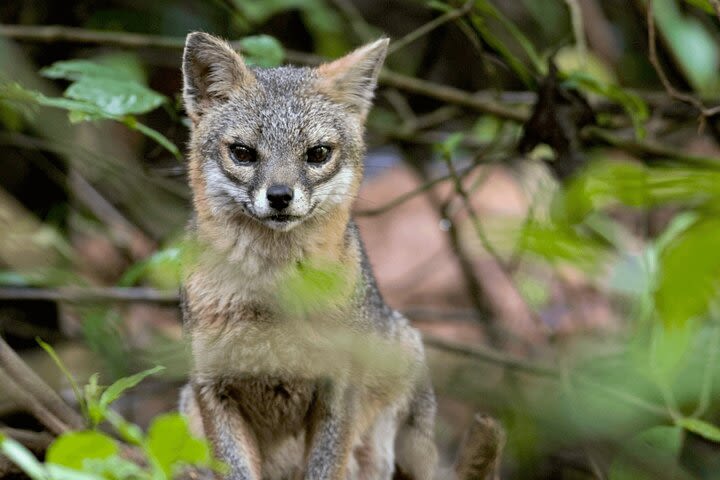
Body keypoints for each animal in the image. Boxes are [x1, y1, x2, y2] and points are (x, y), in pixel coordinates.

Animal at [179, 31, 438, 478]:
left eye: (317, 153)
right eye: (243, 153)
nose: (280, 196)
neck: (273, 294)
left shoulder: (339, 390)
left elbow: (324, 467)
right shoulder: (213, 389)